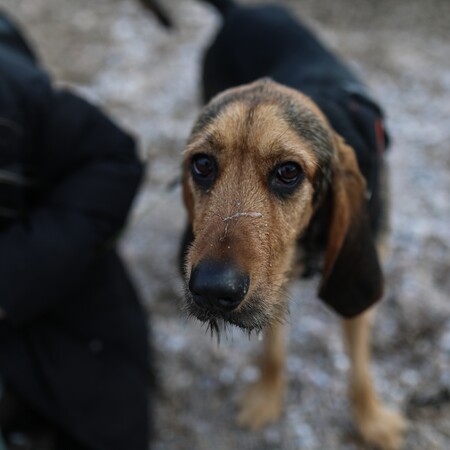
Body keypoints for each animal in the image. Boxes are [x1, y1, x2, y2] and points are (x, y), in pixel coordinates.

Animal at [179, 1, 408, 448]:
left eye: (288, 172)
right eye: (202, 164)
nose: (212, 290)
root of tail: (242, 10)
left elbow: (360, 368)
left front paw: (371, 420)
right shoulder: (273, 284)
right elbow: (272, 352)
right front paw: (267, 397)